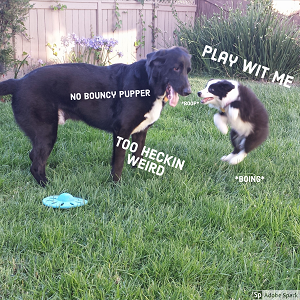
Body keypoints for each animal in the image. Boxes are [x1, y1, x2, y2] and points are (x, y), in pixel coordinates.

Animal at [0, 46, 191, 185]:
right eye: (175, 68)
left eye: (188, 70)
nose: (188, 92)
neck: (149, 83)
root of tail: (18, 82)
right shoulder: (121, 131)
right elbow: (118, 163)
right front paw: (116, 186)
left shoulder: (140, 132)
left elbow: (137, 158)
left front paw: (136, 177)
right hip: (46, 132)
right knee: (36, 165)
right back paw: (49, 187)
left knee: (33, 156)